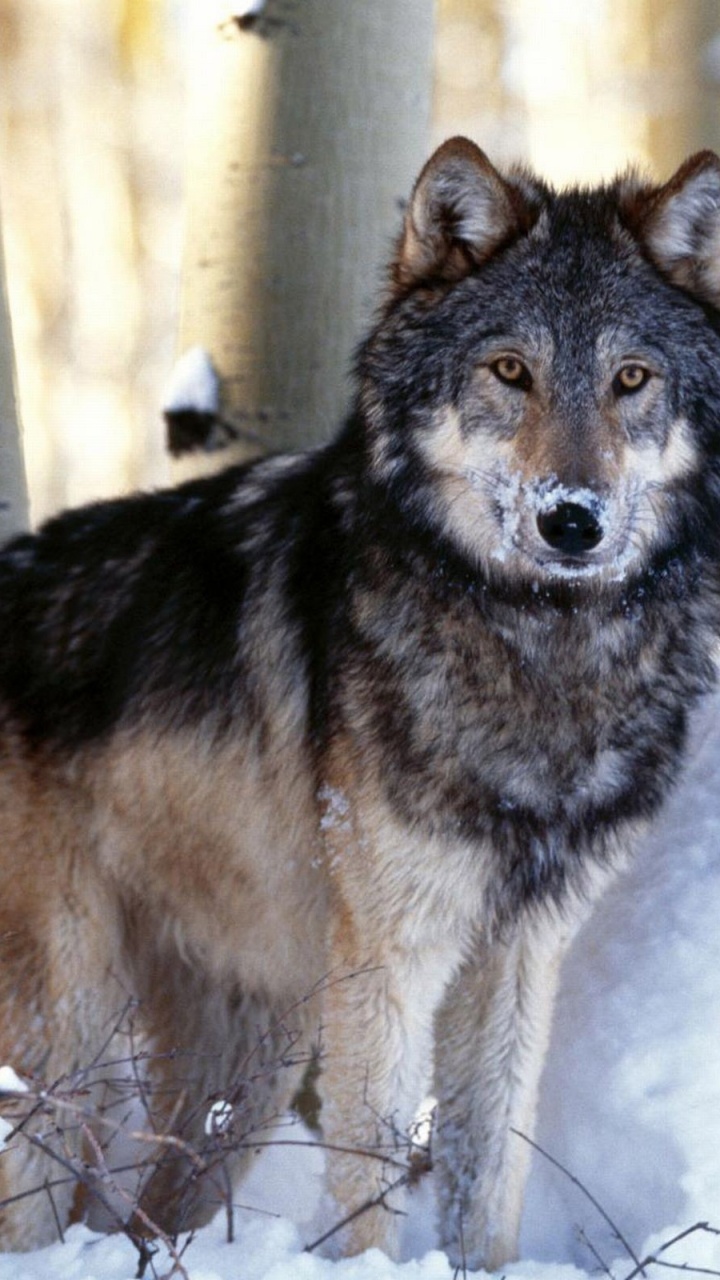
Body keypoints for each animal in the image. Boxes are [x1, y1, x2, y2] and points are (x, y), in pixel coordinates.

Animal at [0, 137, 720, 1269]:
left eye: (631, 379)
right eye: (510, 370)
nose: (574, 520)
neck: (537, 648)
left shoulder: (520, 955)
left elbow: (486, 1172)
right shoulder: (392, 956)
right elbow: (372, 1179)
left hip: (251, 1057)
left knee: (144, 1210)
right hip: (74, 1019)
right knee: (36, 1199)